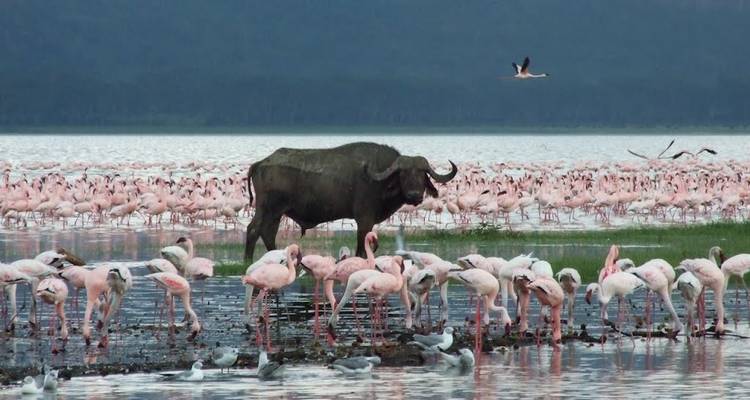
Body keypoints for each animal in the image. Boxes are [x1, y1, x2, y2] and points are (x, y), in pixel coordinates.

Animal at [244, 142, 457, 261]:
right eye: (403, 174)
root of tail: (261, 163)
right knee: (254, 230)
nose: (414, 195)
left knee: (268, 233)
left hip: (276, 212)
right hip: (267, 208)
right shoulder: (364, 218)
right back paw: (248, 259)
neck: (379, 179)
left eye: (422, 174)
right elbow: (361, 246)